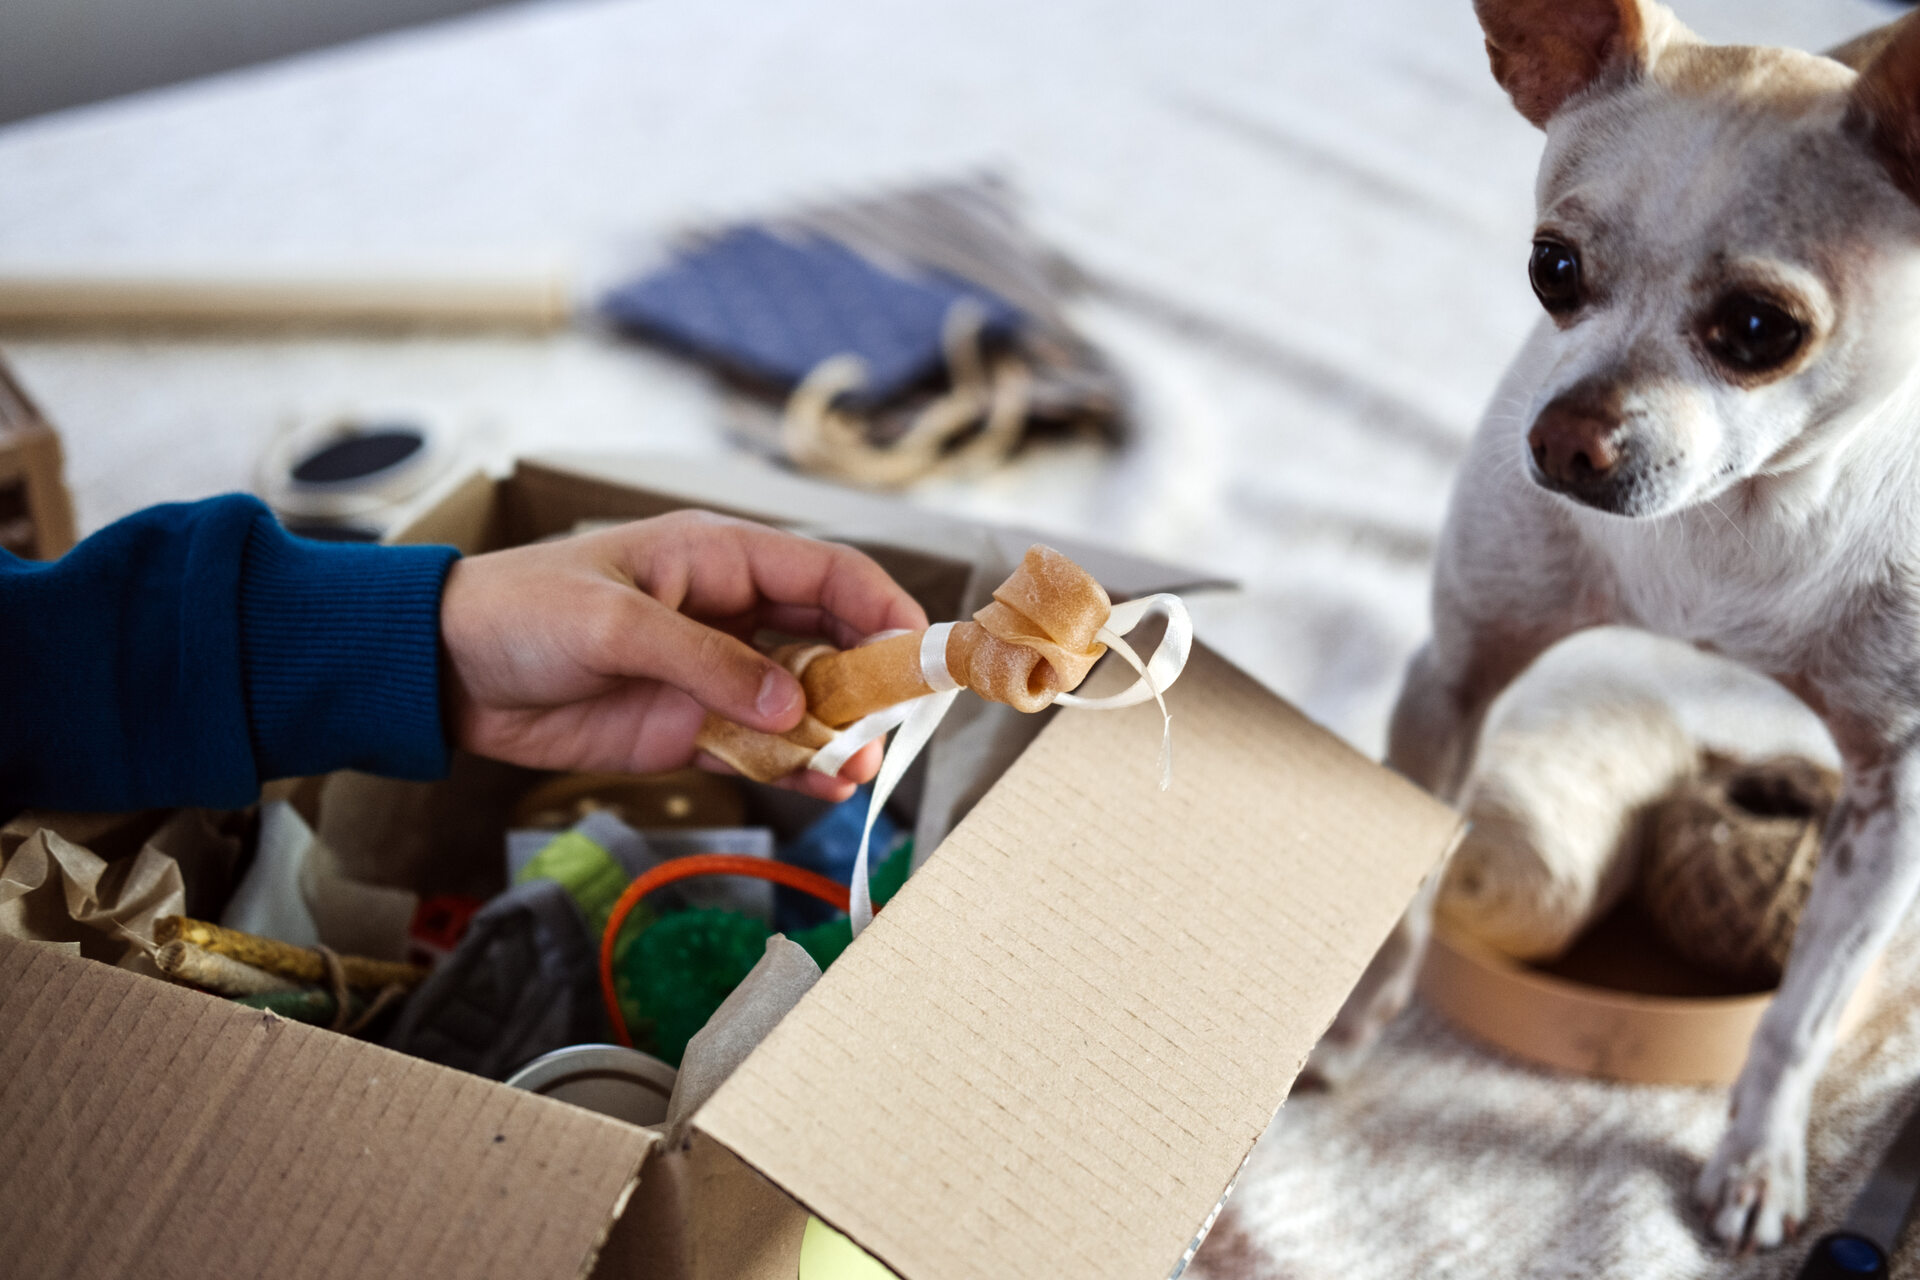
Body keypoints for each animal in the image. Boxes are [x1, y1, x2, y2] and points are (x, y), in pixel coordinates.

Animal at [1305, 0, 1920, 1258]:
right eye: (1553, 268)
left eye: (1758, 328)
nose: (1563, 441)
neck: (1723, 535)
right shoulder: (1457, 678)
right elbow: (1415, 892)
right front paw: (1347, 1025)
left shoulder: (1889, 805)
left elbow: (1802, 1011)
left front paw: (1759, 1158)